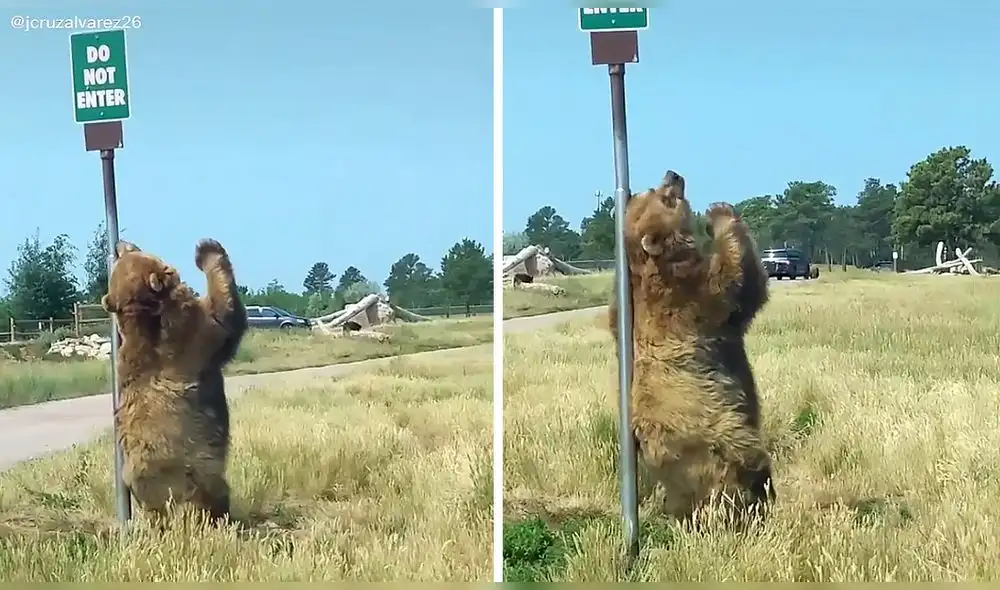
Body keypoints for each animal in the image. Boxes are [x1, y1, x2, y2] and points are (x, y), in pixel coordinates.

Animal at [101, 238, 247, 523]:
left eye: (126, 252)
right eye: (133, 251)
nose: (120, 242)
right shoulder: (191, 336)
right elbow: (224, 312)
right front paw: (207, 250)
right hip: (197, 475)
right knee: (215, 493)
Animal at [606, 170, 775, 522]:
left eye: (649, 188)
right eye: (661, 194)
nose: (673, 174)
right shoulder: (687, 299)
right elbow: (737, 282)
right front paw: (719, 212)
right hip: (720, 435)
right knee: (742, 468)